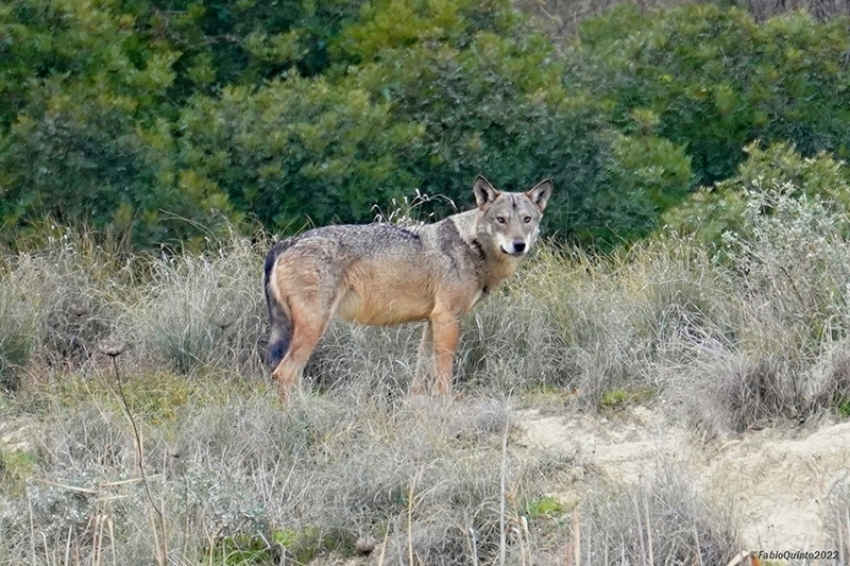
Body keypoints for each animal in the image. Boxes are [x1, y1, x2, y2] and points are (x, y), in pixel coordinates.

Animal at [266, 175, 556, 402]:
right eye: (501, 220)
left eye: (526, 219)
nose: (519, 245)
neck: (473, 247)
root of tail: (286, 243)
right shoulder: (448, 317)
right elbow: (444, 373)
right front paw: (446, 406)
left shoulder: (432, 320)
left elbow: (420, 376)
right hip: (315, 325)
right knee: (284, 373)